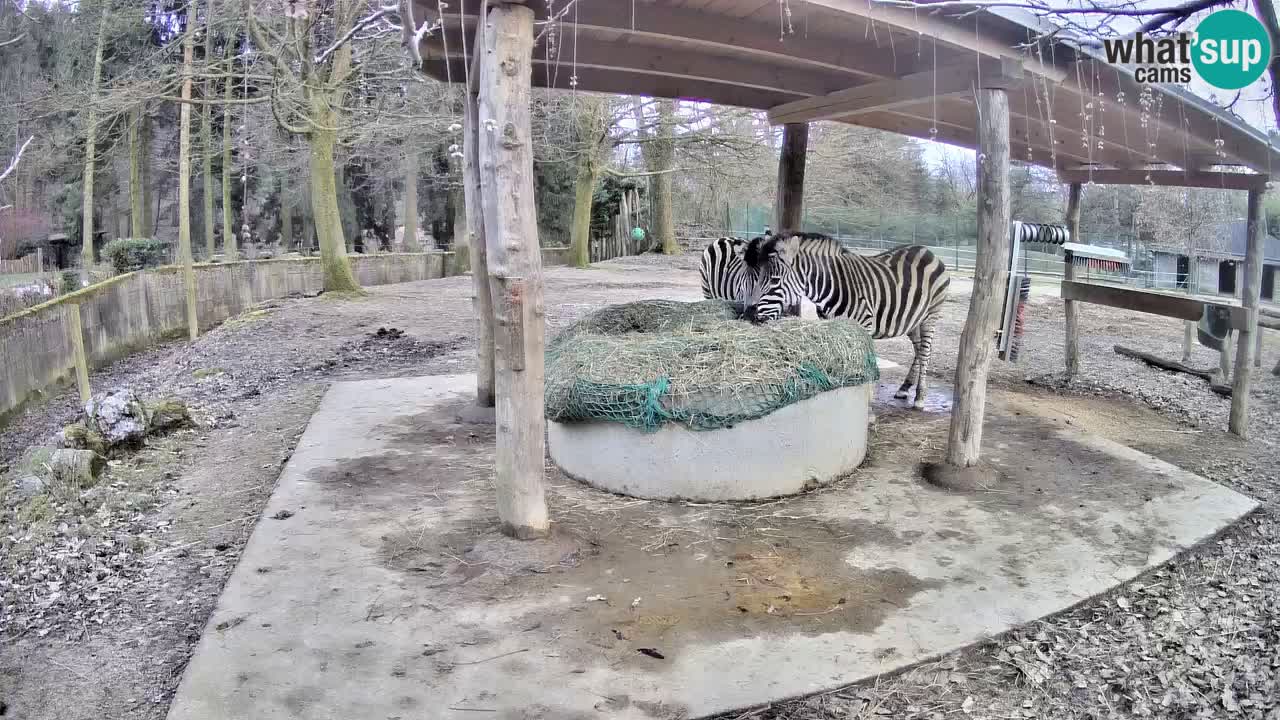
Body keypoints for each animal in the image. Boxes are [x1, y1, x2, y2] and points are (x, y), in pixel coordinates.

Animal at [742, 230, 952, 407]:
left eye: (774, 280)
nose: (750, 317)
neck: (831, 285)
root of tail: (928, 251)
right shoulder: (833, 325)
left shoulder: (864, 326)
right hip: (912, 319)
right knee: (919, 349)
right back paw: (904, 387)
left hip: (931, 314)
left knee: (925, 351)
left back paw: (920, 397)